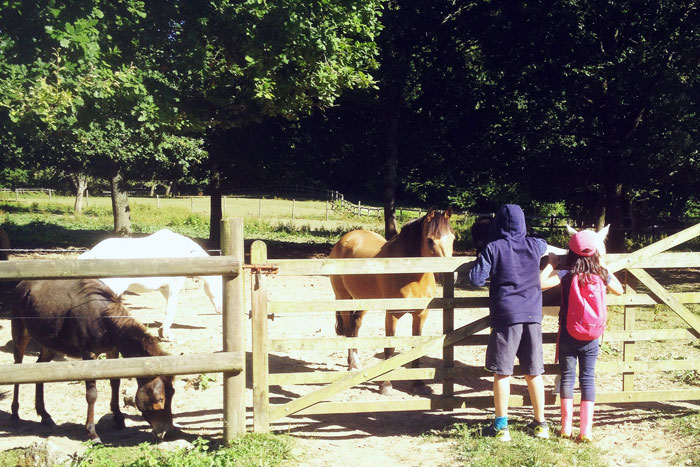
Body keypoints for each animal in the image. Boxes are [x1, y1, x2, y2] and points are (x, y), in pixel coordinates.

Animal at [11, 280, 178, 444]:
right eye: (159, 399)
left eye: (173, 394)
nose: (167, 433)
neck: (104, 320)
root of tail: (21, 285)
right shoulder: (89, 355)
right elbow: (92, 395)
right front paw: (92, 432)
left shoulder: (112, 350)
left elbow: (115, 382)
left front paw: (118, 417)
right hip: (20, 332)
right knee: (17, 368)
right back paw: (15, 413)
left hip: (49, 343)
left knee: (40, 369)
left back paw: (44, 415)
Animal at [79, 229, 223, 342]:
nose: (221, 310)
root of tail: (93, 254)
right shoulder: (174, 287)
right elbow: (170, 309)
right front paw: (167, 336)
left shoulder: (165, 288)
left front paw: (163, 331)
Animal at [328, 208, 454, 394]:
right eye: (430, 240)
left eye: (453, 238)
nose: (449, 274)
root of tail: (344, 240)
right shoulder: (392, 314)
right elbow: (390, 348)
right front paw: (386, 385)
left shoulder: (421, 315)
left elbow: (416, 347)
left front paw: (417, 383)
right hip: (343, 298)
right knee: (349, 330)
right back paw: (352, 364)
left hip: (363, 300)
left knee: (355, 325)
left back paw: (356, 362)